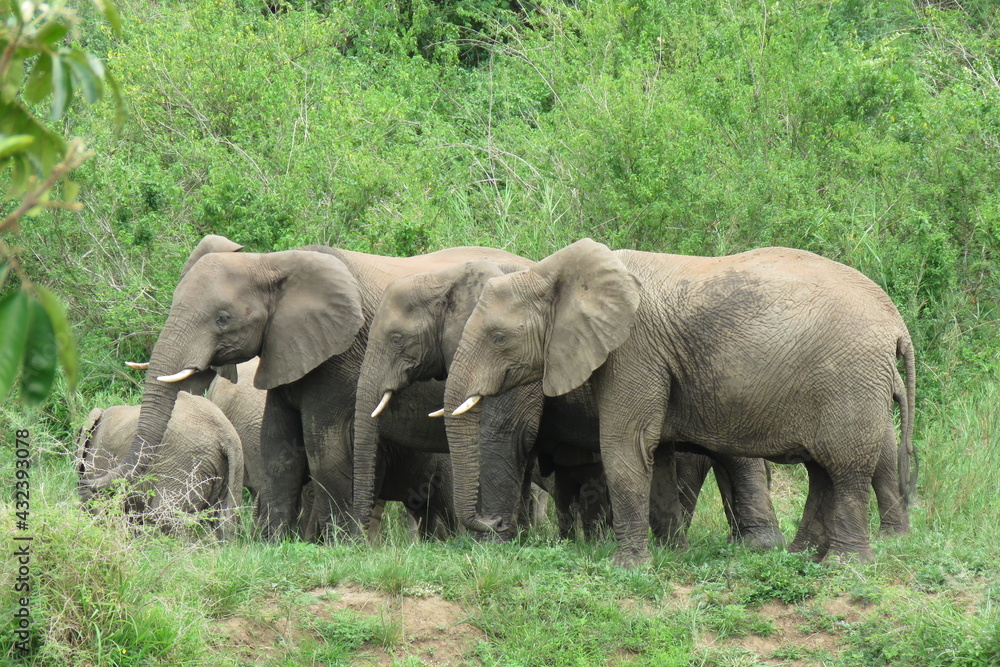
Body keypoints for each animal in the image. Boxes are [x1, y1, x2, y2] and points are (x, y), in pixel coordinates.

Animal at [354, 259, 784, 548]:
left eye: (396, 339)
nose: (491, 524)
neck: (450, 276)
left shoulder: (514, 362)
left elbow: (505, 434)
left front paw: (491, 545)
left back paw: (758, 547)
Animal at [443, 239, 916, 567]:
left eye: (498, 338)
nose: (493, 523)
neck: (552, 271)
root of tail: (897, 324)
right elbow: (658, 455)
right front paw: (674, 555)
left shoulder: (633, 348)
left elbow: (626, 445)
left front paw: (629, 567)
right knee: (822, 471)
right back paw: (802, 556)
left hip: (849, 380)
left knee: (845, 468)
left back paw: (844, 565)